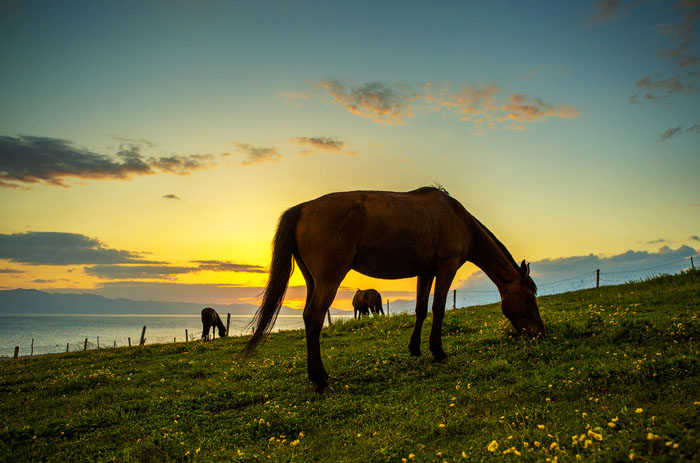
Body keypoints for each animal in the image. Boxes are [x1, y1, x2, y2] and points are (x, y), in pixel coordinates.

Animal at [243, 188, 544, 392]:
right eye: (529, 298)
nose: (539, 333)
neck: (458, 218)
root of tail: (303, 208)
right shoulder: (446, 267)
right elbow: (438, 309)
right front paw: (438, 352)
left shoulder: (426, 271)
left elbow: (421, 309)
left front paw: (415, 349)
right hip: (329, 279)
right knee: (314, 318)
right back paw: (320, 381)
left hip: (312, 280)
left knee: (308, 317)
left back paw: (321, 376)